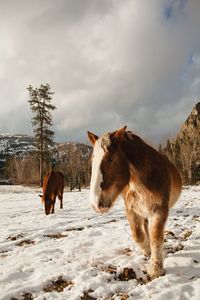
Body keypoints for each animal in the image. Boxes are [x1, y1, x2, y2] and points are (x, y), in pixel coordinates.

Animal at [86, 126, 182, 278]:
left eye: (111, 158)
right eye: (93, 159)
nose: (96, 204)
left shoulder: (159, 211)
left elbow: (155, 237)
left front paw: (155, 269)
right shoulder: (131, 210)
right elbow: (137, 235)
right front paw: (148, 251)